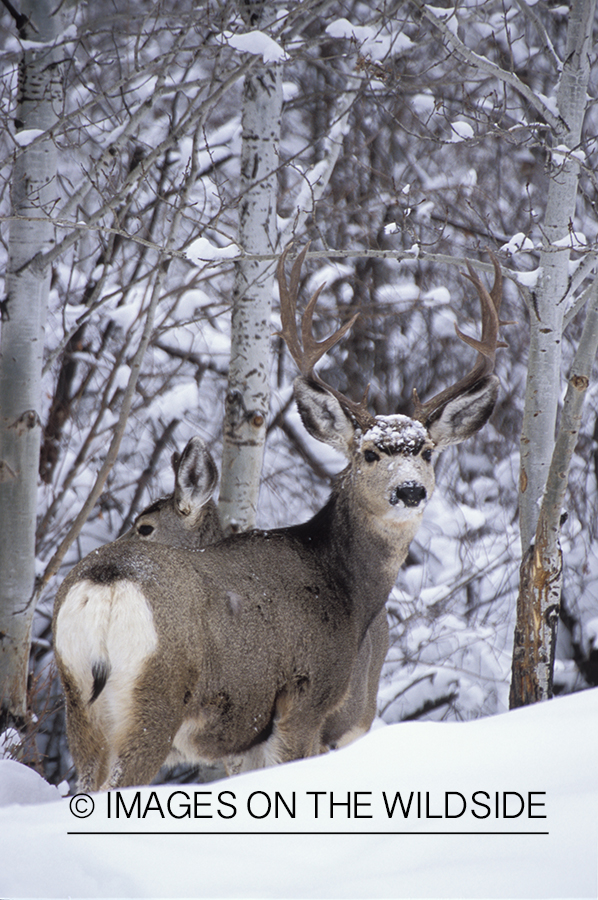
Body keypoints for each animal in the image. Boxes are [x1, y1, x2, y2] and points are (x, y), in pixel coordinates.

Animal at [53, 247, 505, 791]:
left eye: (429, 452)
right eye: (370, 452)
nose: (410, 490)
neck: (347, 587)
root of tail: (106, 580)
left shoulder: (249, 732)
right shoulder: (304, 701)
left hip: (79, 704)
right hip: (154, 697)